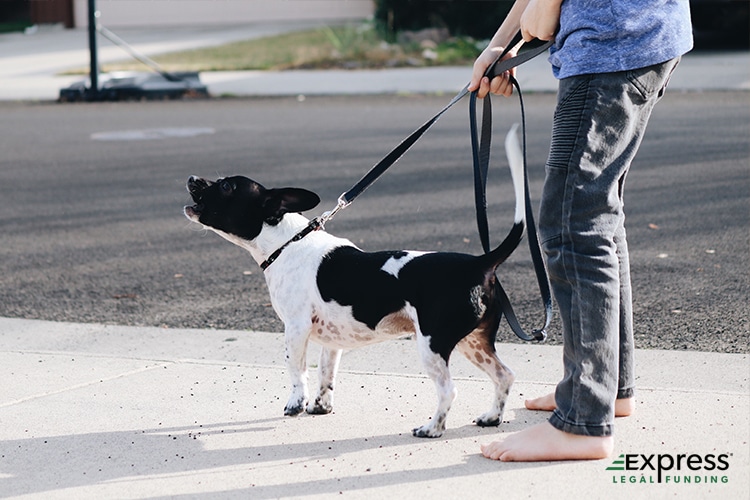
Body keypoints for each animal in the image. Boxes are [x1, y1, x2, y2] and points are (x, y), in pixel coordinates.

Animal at [187, 126, 528, 438]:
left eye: (227, 185)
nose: (191, 178)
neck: (288, 242)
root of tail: (478, 262)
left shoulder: (295, 329)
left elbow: (297, 370)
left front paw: (296, 403)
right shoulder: (330, 341)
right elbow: (326, 373)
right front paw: (320, 406)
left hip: (432, 344)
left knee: (448, 390)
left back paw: (432, 428)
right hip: (474, 343)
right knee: (505, 376)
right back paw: (492, 417)